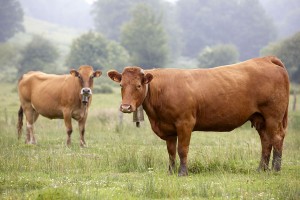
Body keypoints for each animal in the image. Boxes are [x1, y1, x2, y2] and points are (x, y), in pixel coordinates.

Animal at [107, 55, 288, 175]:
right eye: (121, 85)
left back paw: (276, 169)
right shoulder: (168, 128)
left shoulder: (185, 123)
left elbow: (182, 149)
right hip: (260, 118)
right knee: (266, 141)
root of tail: (265, 59)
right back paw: (261, 169)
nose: (126, 107)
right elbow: (171, 151)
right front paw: (170, 172)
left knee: (277, 138)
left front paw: (182, 172)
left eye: (138, 85)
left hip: (273, 116)